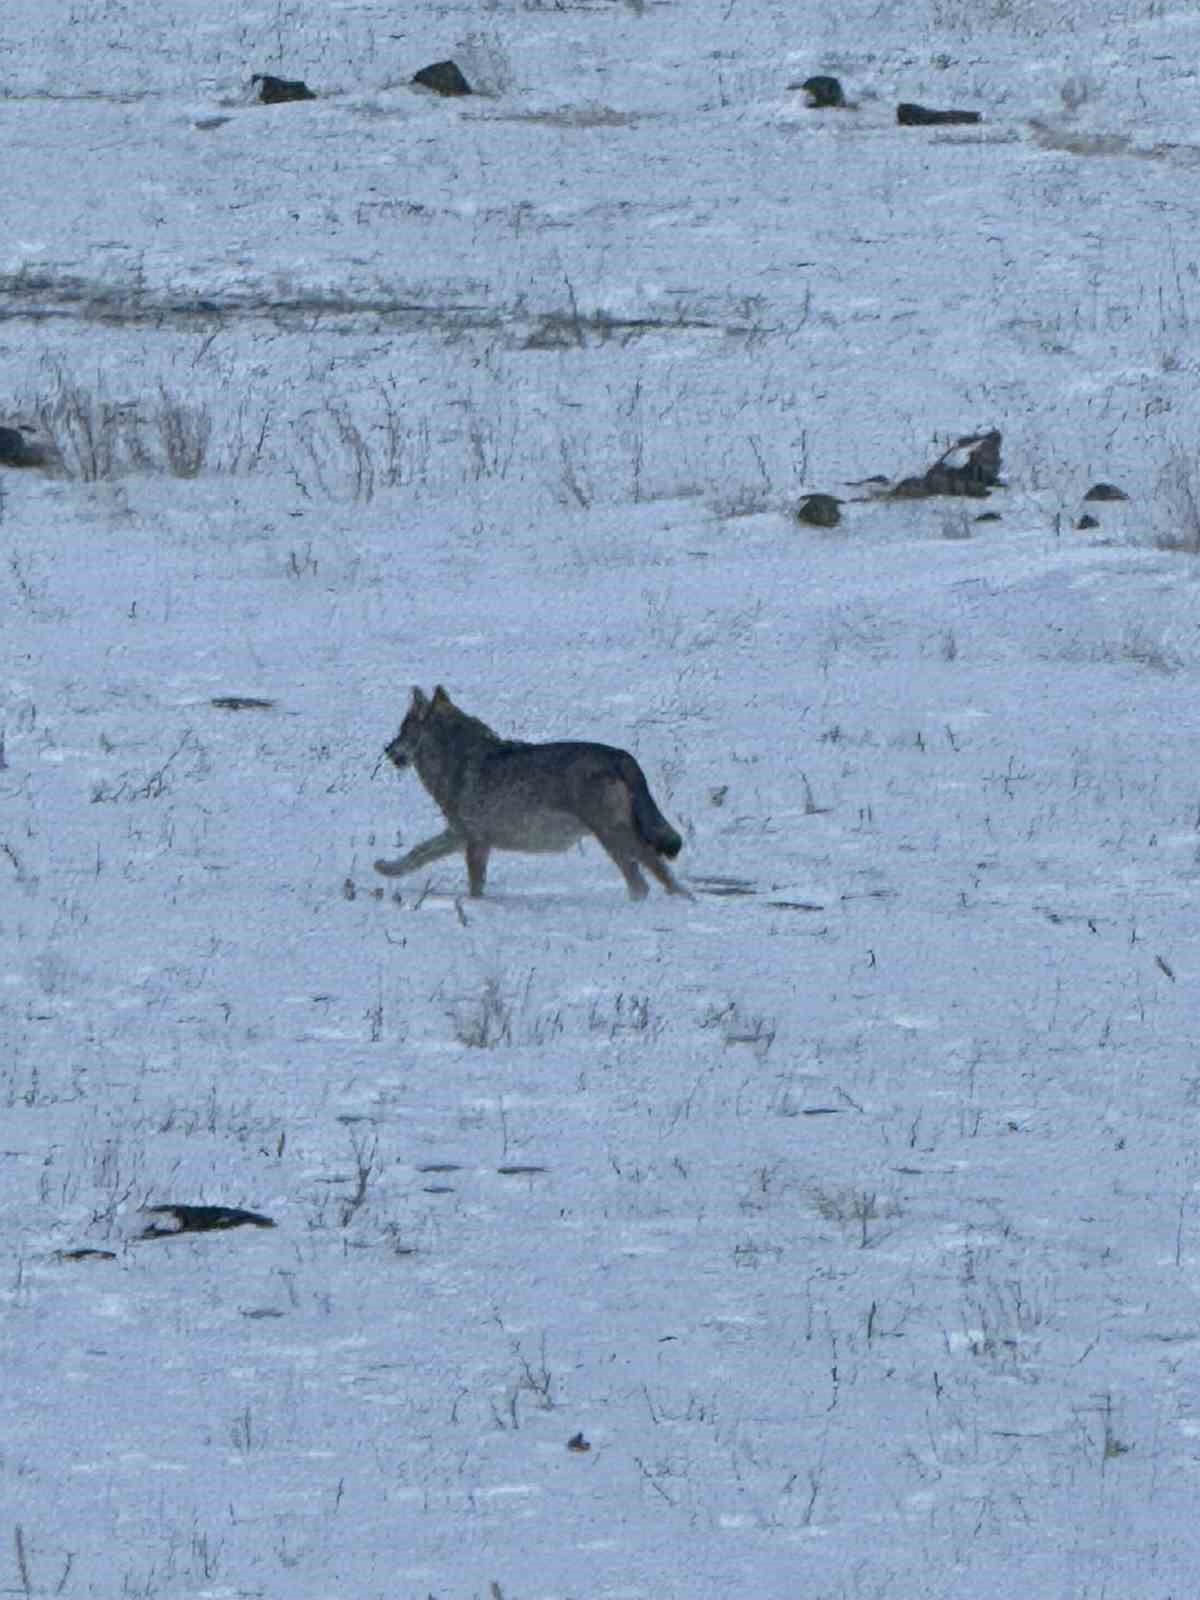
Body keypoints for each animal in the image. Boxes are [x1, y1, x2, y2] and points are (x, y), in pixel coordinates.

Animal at [380, 684, 691, 902]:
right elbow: (416, 854)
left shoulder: (471, 839)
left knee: (648, 881)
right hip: (619, 839)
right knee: (655, 878)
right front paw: (386, 868)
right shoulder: (460, 836)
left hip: (614, 837)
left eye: (403, 730)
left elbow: (471, 885)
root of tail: (620, 756)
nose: (387, 750)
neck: (456, 760)